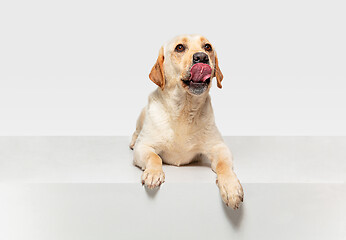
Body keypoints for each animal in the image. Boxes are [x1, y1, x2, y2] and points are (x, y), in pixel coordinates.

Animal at [129, 34, 243, 209]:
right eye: (180, 48)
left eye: (207, 47)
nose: (201, 57)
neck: (183, 110)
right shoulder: (144, 146)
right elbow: (154, 157)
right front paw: (153, 173)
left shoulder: (219, 147)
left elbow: (224, 165)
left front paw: (231, 187)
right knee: (136, 133)